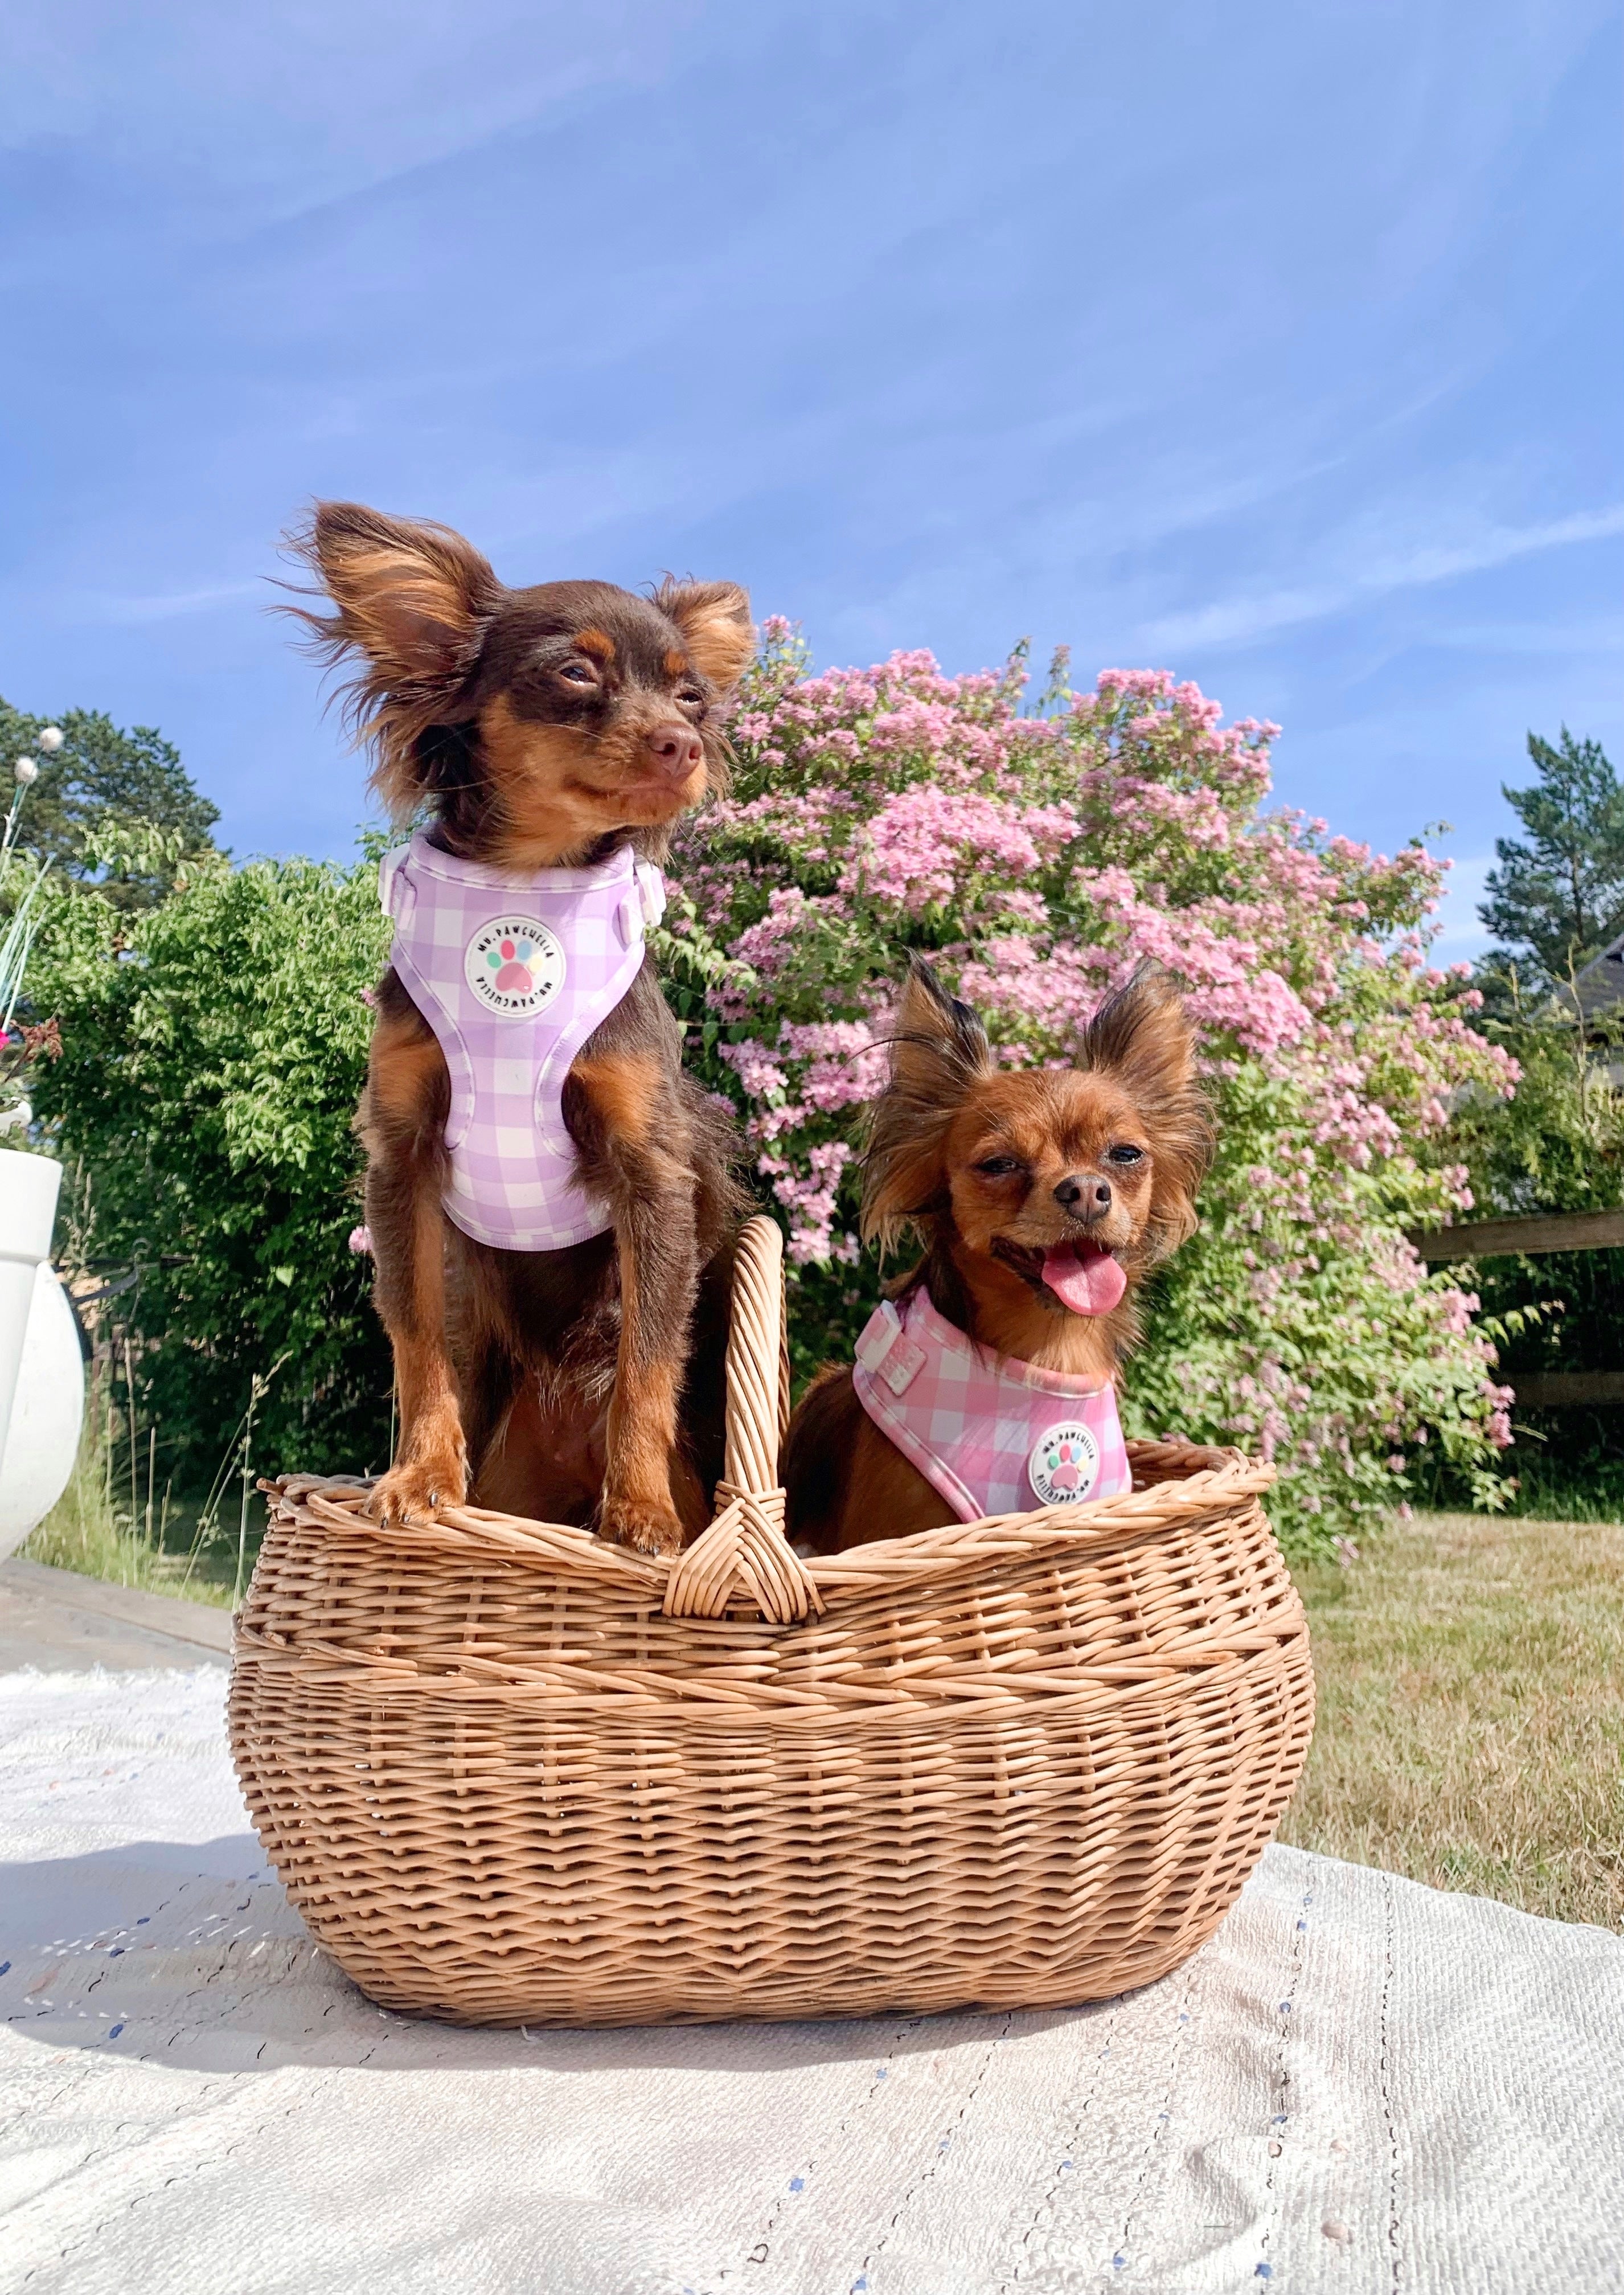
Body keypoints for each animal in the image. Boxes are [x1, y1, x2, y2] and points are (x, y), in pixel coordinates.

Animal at [289, 502, 752, 1554]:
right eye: (575, 672)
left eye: (691, 697)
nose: (683, 743)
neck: (525, 881)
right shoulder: (403, 1163)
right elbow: (419, 1341)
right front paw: (418, 1478)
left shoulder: (651, 1178)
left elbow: (648, 1362)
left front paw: (641, 1513)